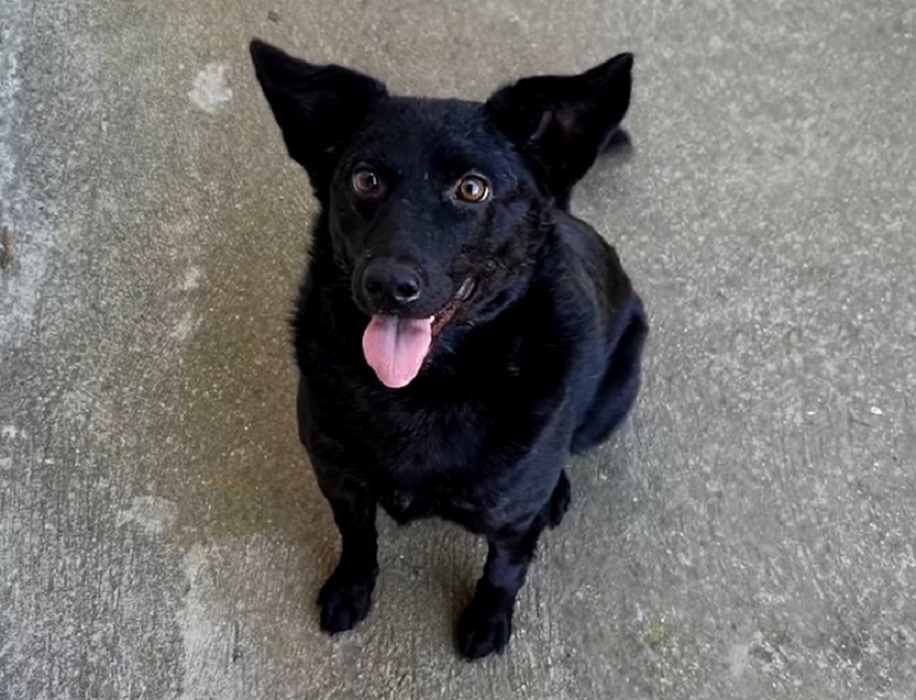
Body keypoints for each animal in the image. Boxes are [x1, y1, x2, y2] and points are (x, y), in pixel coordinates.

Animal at [250, 39, 648, 660]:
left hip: (610, 403)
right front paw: (351, 587)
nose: (388, 284)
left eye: (472, 188)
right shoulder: (339, 480)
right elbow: (358, 539)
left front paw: (487, 618)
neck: (420, 393)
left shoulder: (511, 523)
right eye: (365, 180)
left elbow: (503, 571)